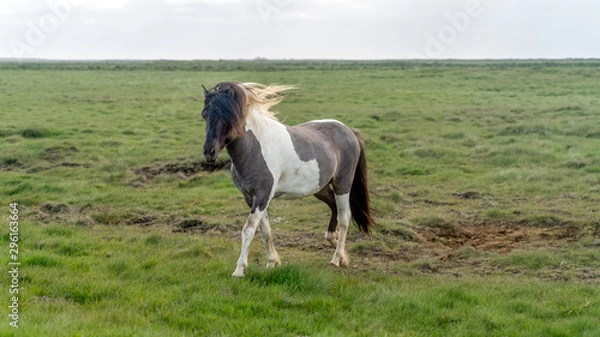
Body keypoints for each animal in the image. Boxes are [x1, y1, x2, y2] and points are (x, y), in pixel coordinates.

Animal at [202, 81, 376, 276]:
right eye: (205, 115)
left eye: (229, 117)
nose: (209, 151)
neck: (255, 148)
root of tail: (349, 131)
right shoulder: (251, 197)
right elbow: (264, 230)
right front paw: (272, 262)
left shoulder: (262, 195)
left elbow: (249, 230)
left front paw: (239, 270)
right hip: (320, 188)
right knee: (333, 208)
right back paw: (339, 249)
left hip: (342, 184)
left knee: (344, 218)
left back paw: (337, 259)